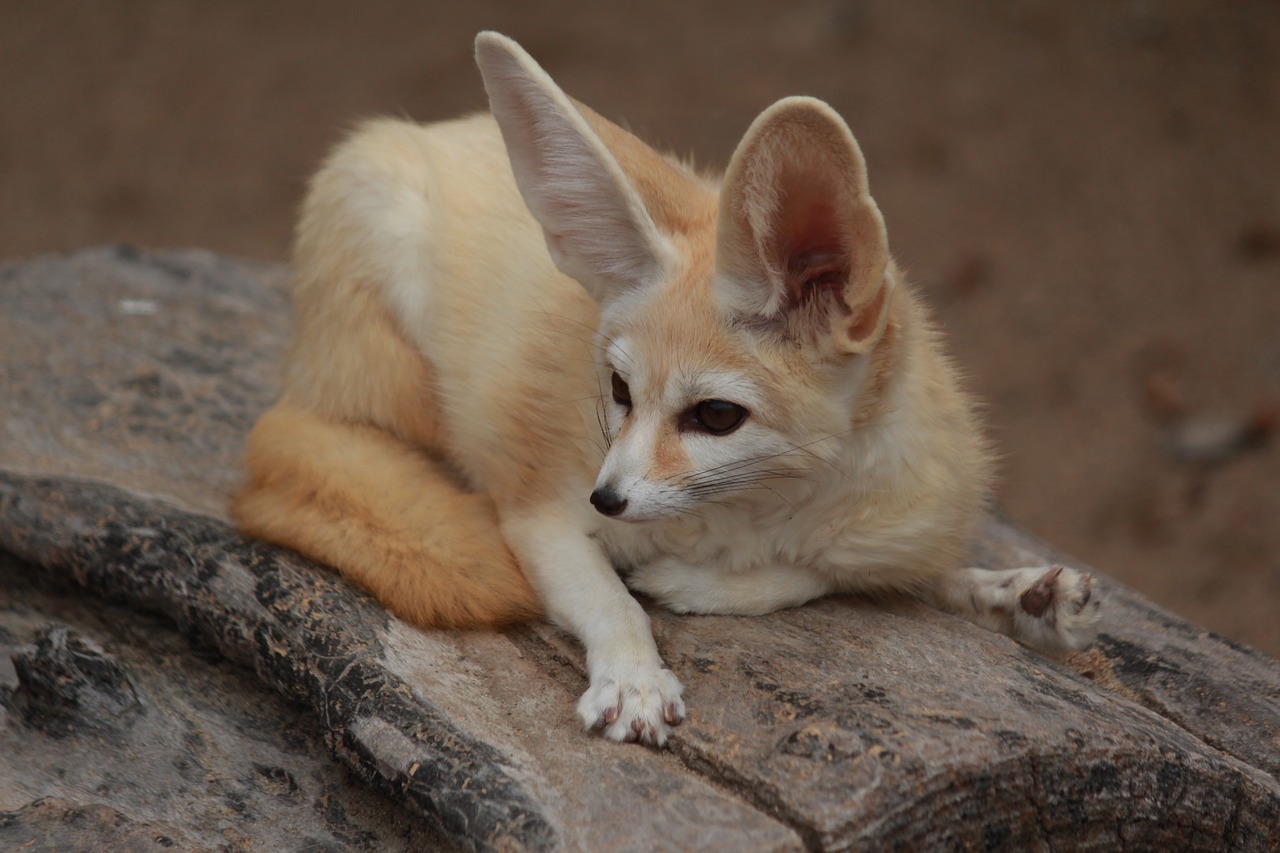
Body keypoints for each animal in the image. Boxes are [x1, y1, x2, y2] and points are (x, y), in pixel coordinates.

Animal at [232, 31, 1100, 742]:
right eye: (617, 388)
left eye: (716, 416)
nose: (606, 498)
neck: (752, 510)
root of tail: (438, 128)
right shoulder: (541, 514)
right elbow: (610, 599)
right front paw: (635, 672)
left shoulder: (901, 525)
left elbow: (845, 572)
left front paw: (1011, 588)